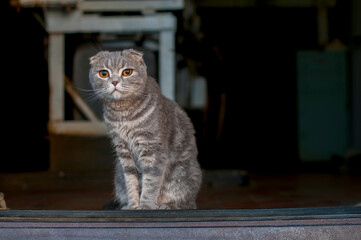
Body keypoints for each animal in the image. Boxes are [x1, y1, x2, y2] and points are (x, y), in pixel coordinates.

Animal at [89, 49, 202, 210]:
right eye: (104, 73)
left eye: (127, 72)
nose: (115, 82)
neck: (123, 114)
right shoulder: (123, 151)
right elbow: (131, 181)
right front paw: (132, 205)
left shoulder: (153, 149)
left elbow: (151, 182)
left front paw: (146, 206)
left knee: (186, 204)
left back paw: (166, 206)